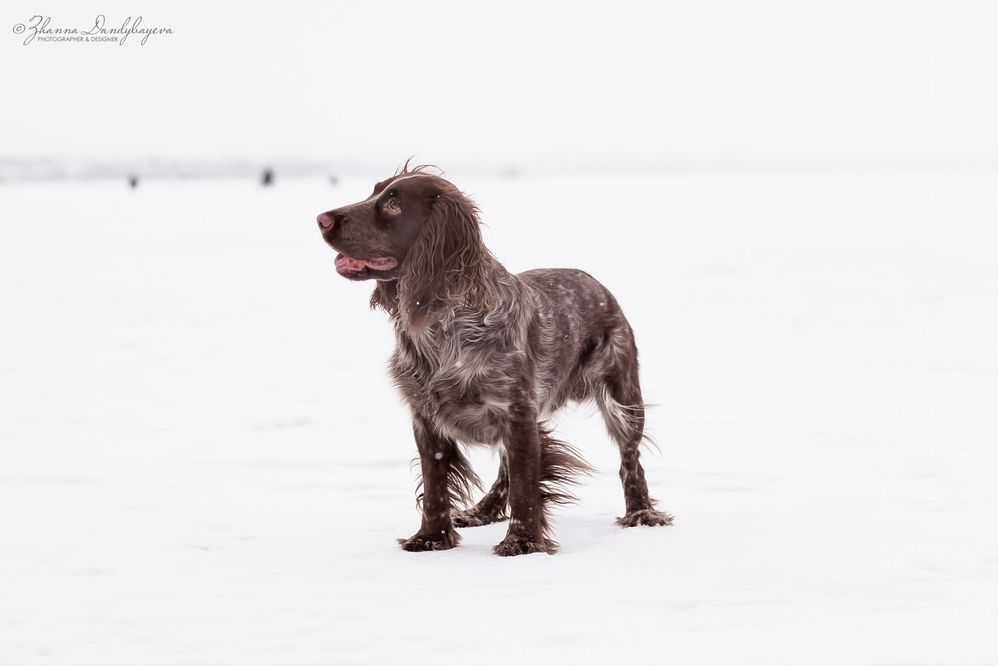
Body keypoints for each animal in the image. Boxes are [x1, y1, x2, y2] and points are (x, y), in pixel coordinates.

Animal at [316, 166, 672, 556]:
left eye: (394, 204)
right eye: (374, 192)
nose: (321, 219)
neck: (444, 325)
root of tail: (596, 283)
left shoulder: (516, 411)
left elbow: (526, 487)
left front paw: (522, 543)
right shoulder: (427, 417)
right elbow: (436, 486)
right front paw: (430, 538)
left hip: (621, 398)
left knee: (630, 459)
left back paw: (641, 513)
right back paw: (483, 510)